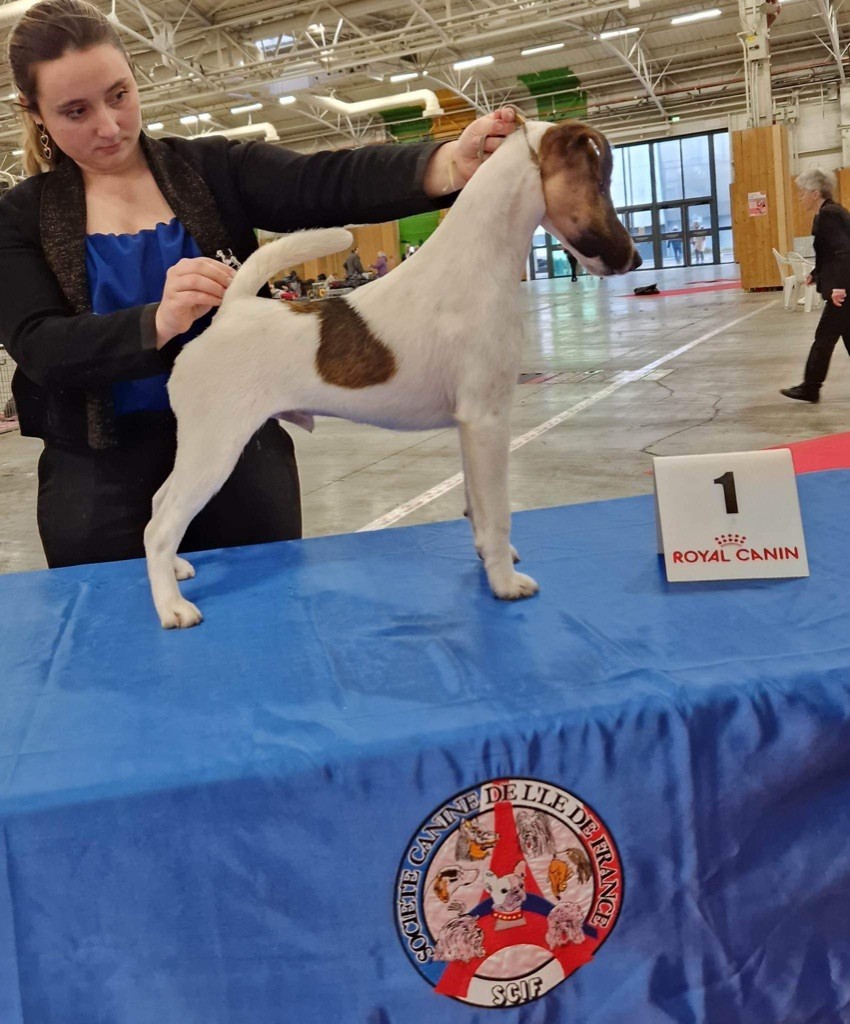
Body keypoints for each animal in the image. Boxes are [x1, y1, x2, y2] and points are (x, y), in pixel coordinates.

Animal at [144, 114, 639, 622]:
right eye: (602, 182)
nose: (635, 258)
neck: (475, 263)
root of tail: (232, 312)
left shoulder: (469, 429)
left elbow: (477, 508)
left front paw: (487, 558)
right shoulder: (487, 421)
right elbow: (497, 512)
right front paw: (504, 581)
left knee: (158, 504)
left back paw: (178, 570)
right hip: (215, 447)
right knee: (159, 527)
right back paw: (172, 608)